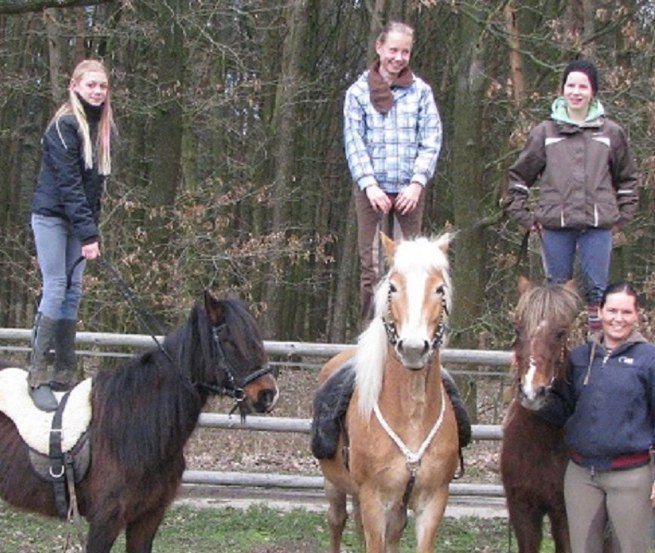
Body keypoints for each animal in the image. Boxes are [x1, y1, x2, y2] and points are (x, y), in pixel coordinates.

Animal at [316, 233, 458, 552]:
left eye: (439, 289)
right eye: (392, 287)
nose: (414, 348)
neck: (412, 416)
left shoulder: (433, 502)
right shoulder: (374, 501)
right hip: (335, 486)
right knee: (336, 521)